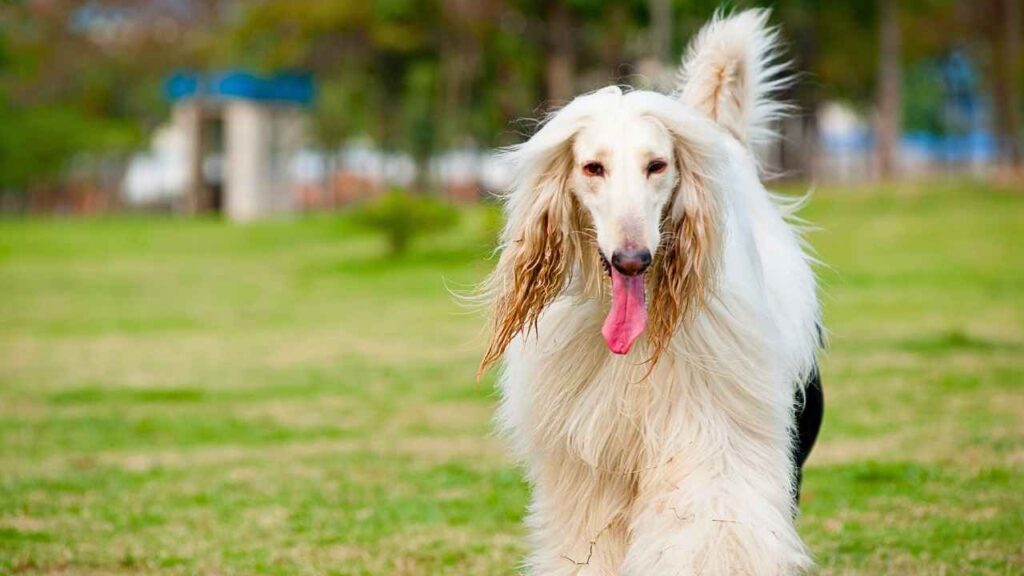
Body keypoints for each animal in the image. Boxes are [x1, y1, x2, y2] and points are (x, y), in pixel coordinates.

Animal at [479, 8, 823, 573]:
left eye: (657, 165)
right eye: (592, 167)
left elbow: (708, 527)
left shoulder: (710, 434)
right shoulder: (591, 464)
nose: (632, 259)